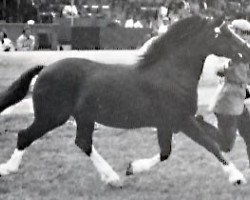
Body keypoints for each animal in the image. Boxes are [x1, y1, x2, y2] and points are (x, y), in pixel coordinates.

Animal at [0, 15, 250, 186]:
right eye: (224, 34)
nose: (246, 50)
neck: (170, 74)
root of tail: (45, 69)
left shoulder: (167, 123)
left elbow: (166, 152)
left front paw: (132, 168)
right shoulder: (182, 120)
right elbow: (211, 146)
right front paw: (237, 177)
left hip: (83, 117)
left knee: (83, 143)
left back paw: (112, 178)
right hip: (52, 116)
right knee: (25, 136)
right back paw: (8, 169)